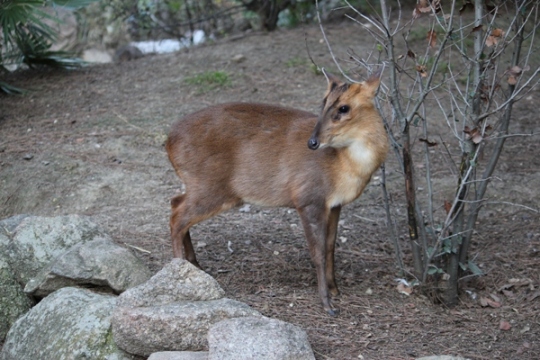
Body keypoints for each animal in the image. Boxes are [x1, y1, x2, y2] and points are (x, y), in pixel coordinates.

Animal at [166, 71, 388, 316]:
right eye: (324, 103)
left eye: (344, 108)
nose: (313, 142)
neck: (342, 165)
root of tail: (168, 141)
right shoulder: (308, 198)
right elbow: (318, 252)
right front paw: (326, 303)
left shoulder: (335, 205)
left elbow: (331, 247)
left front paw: (335, 289)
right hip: (210, 187)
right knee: (177, 216)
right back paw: (177, 273)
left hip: (202, 187)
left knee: (176, 204)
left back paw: (195, 266)